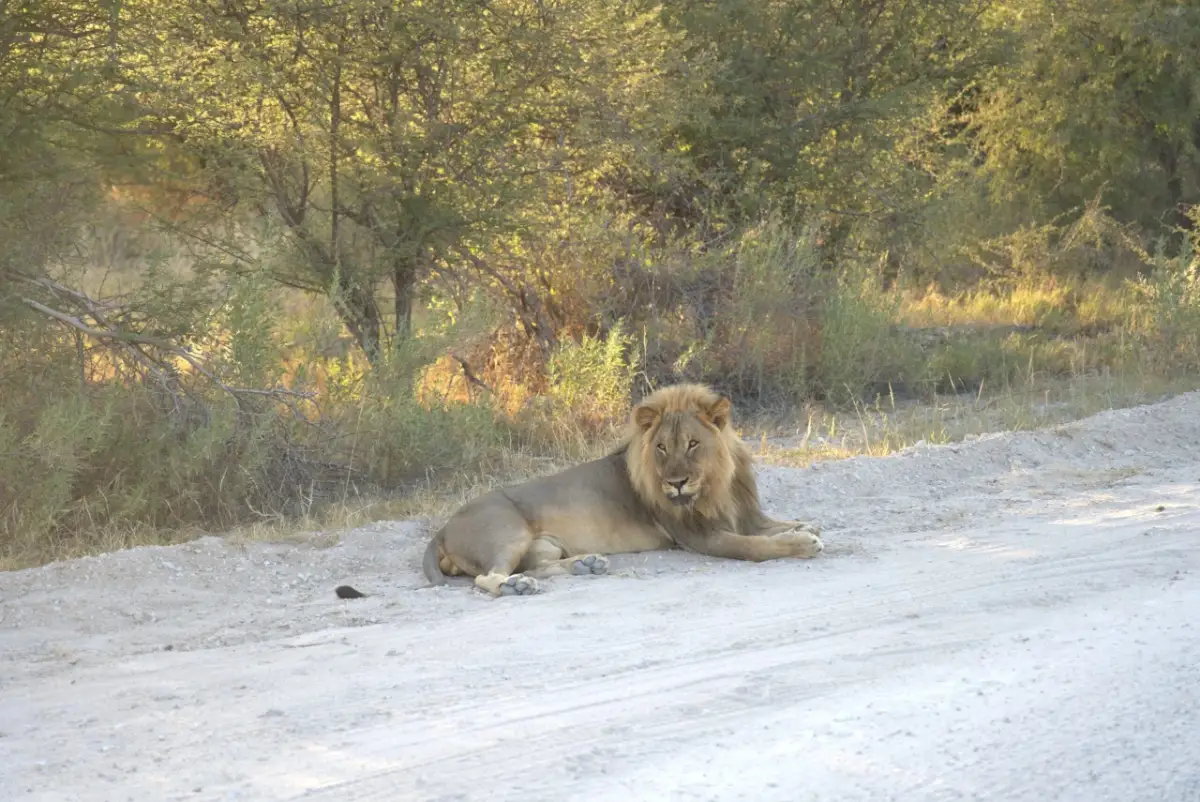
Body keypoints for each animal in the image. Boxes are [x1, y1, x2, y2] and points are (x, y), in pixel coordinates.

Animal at [401, 383, 824, 598]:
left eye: (692, 444)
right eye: (661, 447)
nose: (675, 483)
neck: (717, 481)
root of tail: (443, 528)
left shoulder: (746, 514)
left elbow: (776, 525)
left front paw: (804, 528)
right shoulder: (698, 535)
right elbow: (753, 546)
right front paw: (801, 543)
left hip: (544, 545)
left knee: (538, 565)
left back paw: (586, 565)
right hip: (508, 533)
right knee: (487, 579)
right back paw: (518, 586)